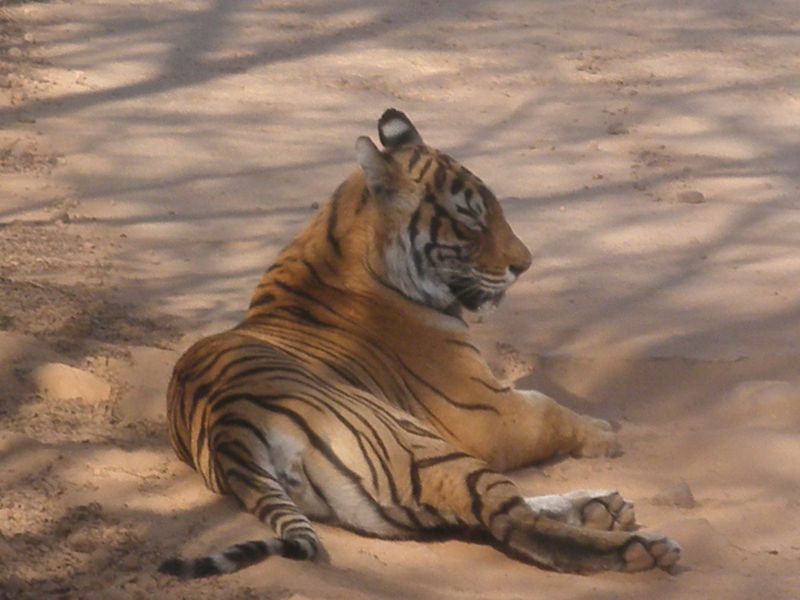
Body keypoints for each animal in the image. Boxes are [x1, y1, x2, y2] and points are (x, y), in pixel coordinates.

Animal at [158, 110, 680, 580]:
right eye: (472, 222)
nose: (525, 264)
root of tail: (230, 429)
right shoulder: (486, 412)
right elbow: (550, 410)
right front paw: (605, 433)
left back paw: (603, 508)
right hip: (419, 445)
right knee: (510, 521)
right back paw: (640, 546)